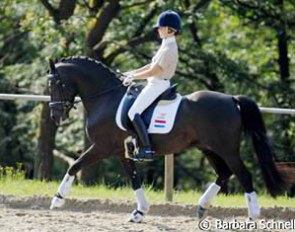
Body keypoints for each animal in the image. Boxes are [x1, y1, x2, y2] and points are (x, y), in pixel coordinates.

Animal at [47, 55, 288, 221]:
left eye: (54, 84)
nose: (56, 116)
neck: (106, 98)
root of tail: (231, 99)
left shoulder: (101, 147)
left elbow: (75, 165)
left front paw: (57, 199)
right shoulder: (121, 152)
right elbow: (134, 179)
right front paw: (140, 212)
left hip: (227, 149)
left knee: (243, 175)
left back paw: (253, 215)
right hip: (208, 148)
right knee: (224, 173)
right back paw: (201, 207)